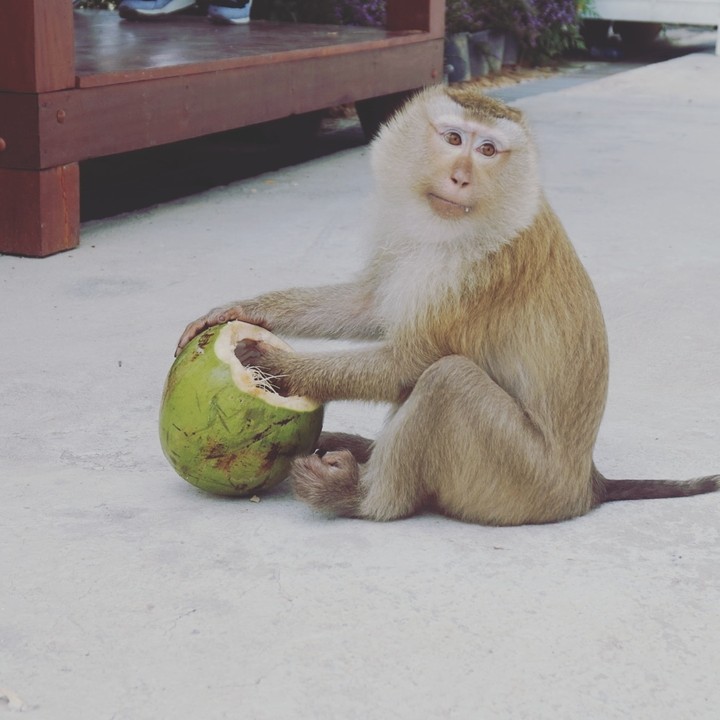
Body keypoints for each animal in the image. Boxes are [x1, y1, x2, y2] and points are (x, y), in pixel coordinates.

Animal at [176, 84, 719, 526]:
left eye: (488, 150)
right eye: (454, 140)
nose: (460, 177)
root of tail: (586, 484)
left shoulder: (483, 273)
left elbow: (411, 360)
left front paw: (276, 366)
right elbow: (369, 306)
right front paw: (247, 311)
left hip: (521, 483)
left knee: (447, 380)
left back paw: (365, 498)